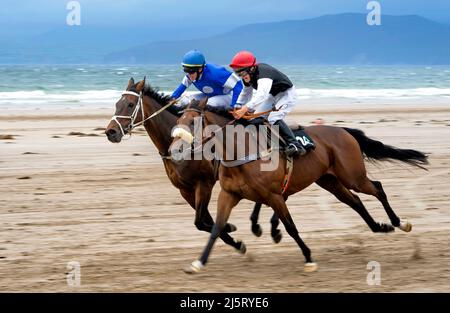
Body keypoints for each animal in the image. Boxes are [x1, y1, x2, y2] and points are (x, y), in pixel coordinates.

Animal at [104, 77, 268, 254]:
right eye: (117, 103)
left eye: (130, 104)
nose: (111, 132)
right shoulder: (185, 189)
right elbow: (205, 221)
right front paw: (232, 234)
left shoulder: (204, 184)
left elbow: (201, 221)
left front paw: (232, 234)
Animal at [172, 98, 428, 272]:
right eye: (177, 120)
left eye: (192, 122)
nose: (175, 150)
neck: (241, 153)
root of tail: (344, 130)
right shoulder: (229, 194)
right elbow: (216, 228)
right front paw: (199, 262)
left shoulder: (273, 195)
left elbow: (291, 227)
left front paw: (309, 258)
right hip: (330, 181)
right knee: (355, 201)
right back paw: (380, 227)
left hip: (352, 176)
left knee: (378, 188)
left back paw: (400, 223)